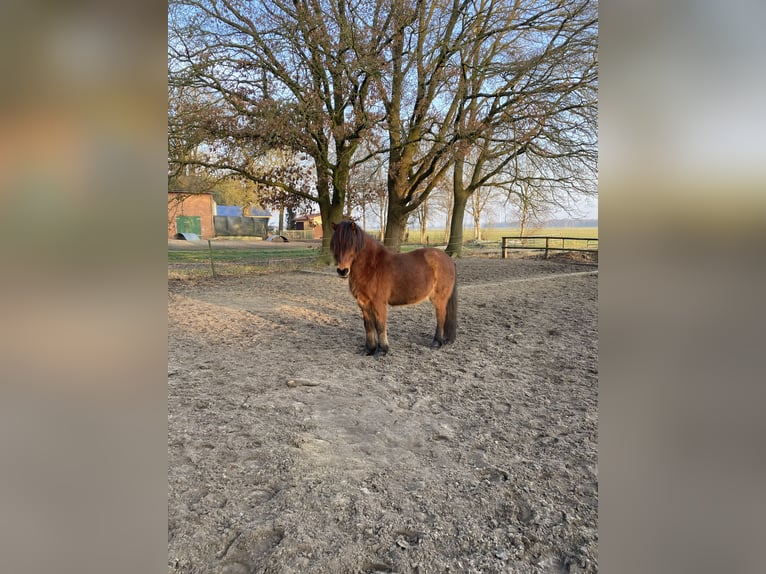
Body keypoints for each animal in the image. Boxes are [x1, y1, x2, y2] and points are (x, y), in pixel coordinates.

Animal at [330, 220, 457, 356]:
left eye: (352, 244)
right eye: (336, 244)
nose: (342, 271)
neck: (371, 267)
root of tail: (449, 259)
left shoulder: (378, 302)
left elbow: (380, 325)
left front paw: (382, 350)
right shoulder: (363, 302)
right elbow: (368, 326)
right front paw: (369, 349)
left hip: (439, 299)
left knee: (441, 318)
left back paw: (436, 343)